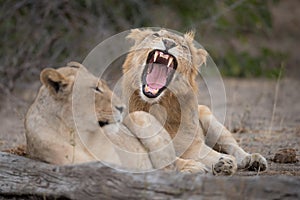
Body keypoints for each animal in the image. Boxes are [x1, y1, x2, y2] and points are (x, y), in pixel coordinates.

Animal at [25, 61, 206, 173]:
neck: (79, 135)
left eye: (105, 85)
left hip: (139, 116)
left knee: (171, 164)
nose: (122, 107)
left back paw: (196, 167)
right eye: (96, 89)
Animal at [122, 28, 268, 175]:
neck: (158, 106)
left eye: (183, 46)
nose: (168, 43)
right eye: (156, 34)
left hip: (210, 119)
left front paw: (226, 163)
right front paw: (195, 166)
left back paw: (253, 160)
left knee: (233, 147)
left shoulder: (191, 145)